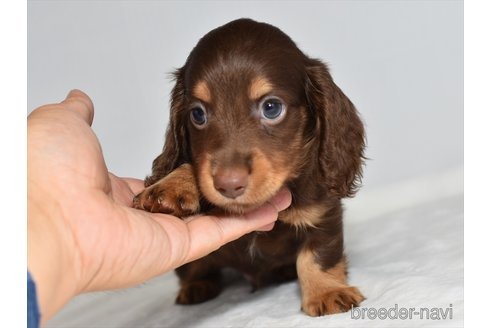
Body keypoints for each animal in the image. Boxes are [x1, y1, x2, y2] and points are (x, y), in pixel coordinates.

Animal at [135, 18, 366, 316]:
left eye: (271, 108)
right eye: (197, 113)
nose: (229, 185)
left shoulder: (323, 215)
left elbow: (317, 256)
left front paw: (326, 292)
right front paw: (172, 185)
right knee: (195, 270)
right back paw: (197, 286)